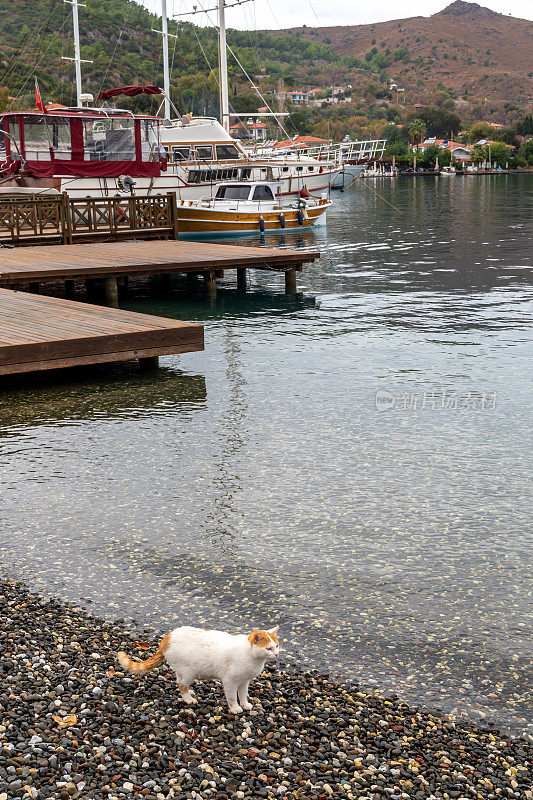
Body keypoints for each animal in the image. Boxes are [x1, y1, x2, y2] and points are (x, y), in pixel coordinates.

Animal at [117, 624, 280, 712]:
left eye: (277, 646)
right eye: (269, 648)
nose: (277, 654)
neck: (253, 658)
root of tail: (167, 638)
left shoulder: (244, 681)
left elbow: (243, 694)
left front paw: (245, 705)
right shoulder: (230, 681)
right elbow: (232, 697)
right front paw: (235, 708)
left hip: (182, 670)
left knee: (179, 680)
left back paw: (190, 692)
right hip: (189, 671)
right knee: (181, 684)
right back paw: (189, 699)